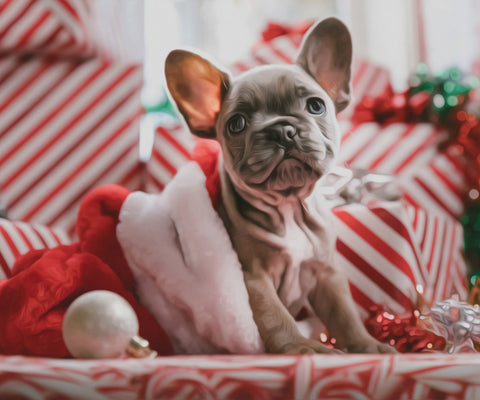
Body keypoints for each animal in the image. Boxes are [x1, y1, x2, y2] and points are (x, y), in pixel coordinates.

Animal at [165, 18, 394, 354]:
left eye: (316, 106)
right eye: (236, 124)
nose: (282, 129)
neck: (288, 207)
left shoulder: (326, 274)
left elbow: (345, 314)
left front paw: (367, 345)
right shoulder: (254, 279)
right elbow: (276, 317)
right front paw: (303, 347)